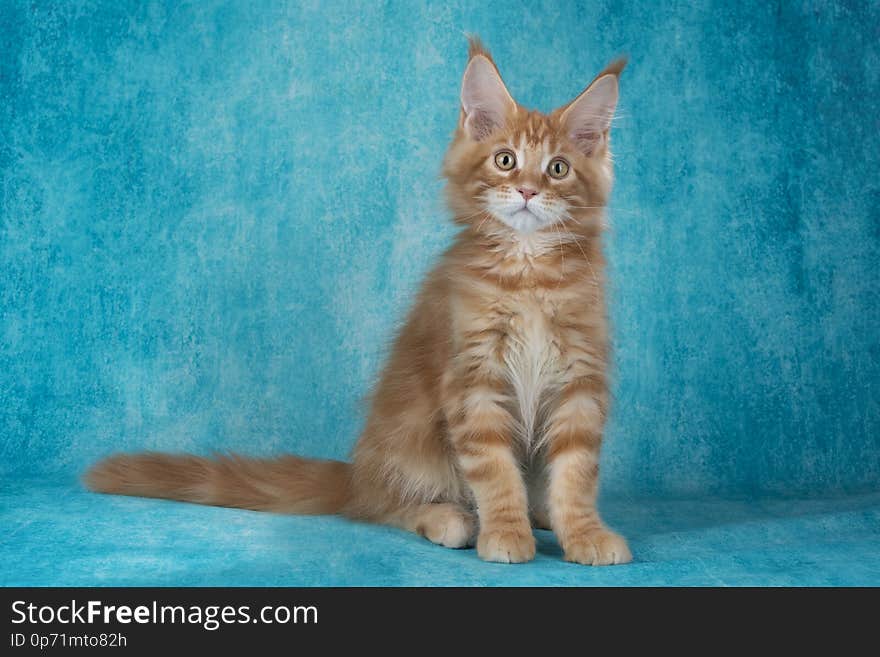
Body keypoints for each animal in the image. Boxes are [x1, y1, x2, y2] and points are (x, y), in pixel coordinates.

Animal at [84, 38, 632, 568]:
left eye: (558, 169)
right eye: (505, 160)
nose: (526, 191)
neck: (528, 274)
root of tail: (357, 472)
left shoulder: (580, 378)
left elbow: (575, 473)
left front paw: (583, 533)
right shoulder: (473, 379)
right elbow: (495, 471)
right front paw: (505, 532)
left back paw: (540, 513)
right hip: (411, 444)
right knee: (381, 508)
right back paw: (450, 518)